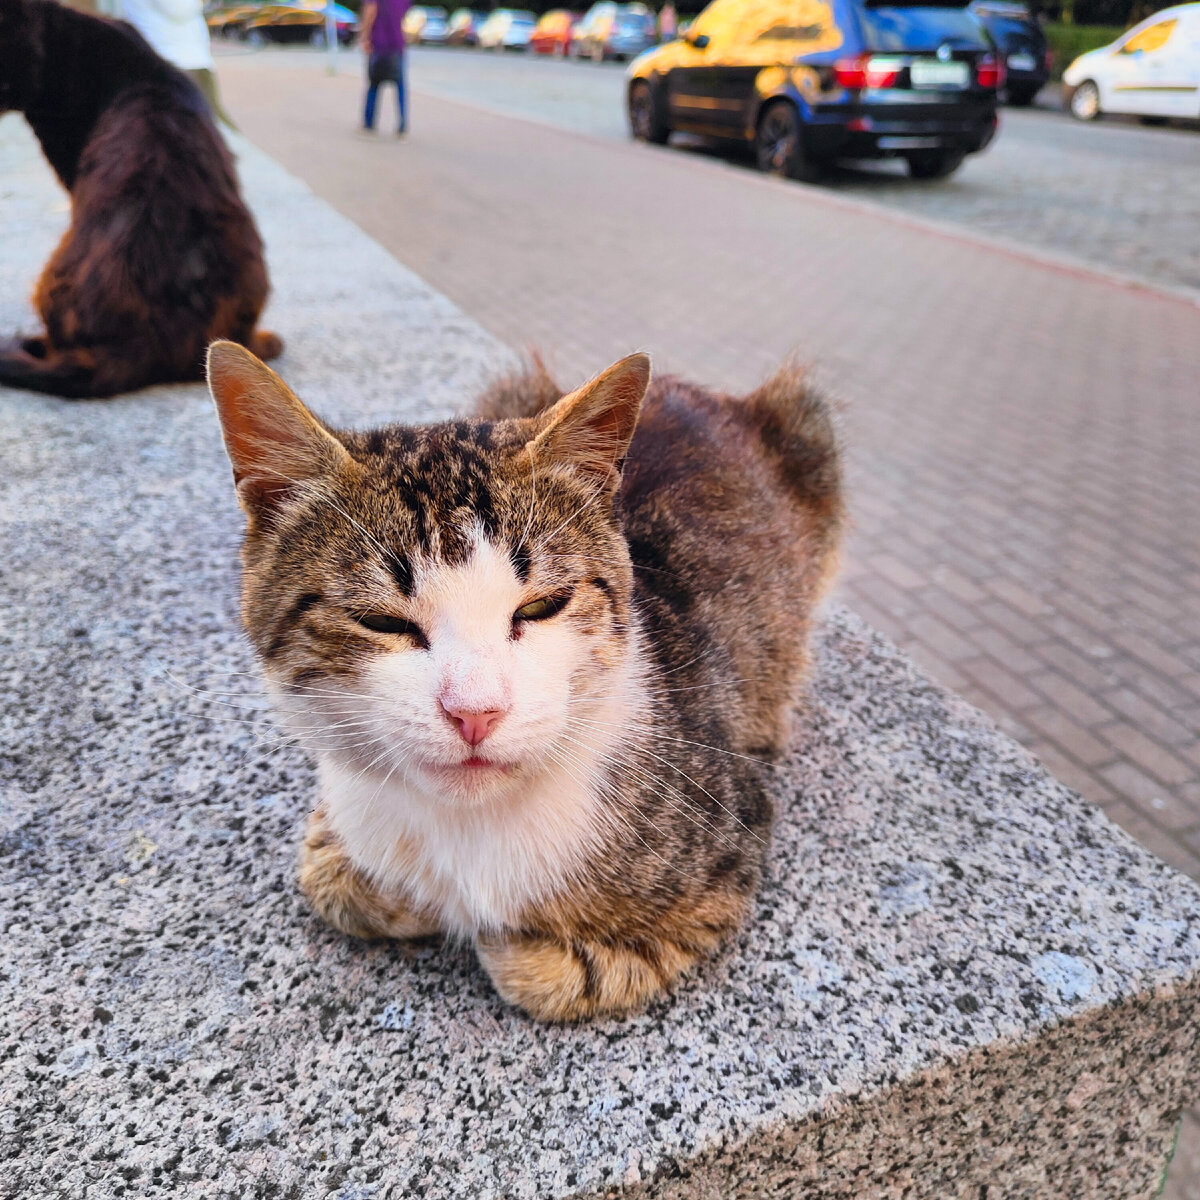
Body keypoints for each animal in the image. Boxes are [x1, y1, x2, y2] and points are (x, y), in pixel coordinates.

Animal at [206, 340, 844, 1022]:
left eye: (541, 606)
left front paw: (508, 943)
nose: (474, 712)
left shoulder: (732, 840)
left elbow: (542, 969)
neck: (466, 826)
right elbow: (327, 877)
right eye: (381, 620)